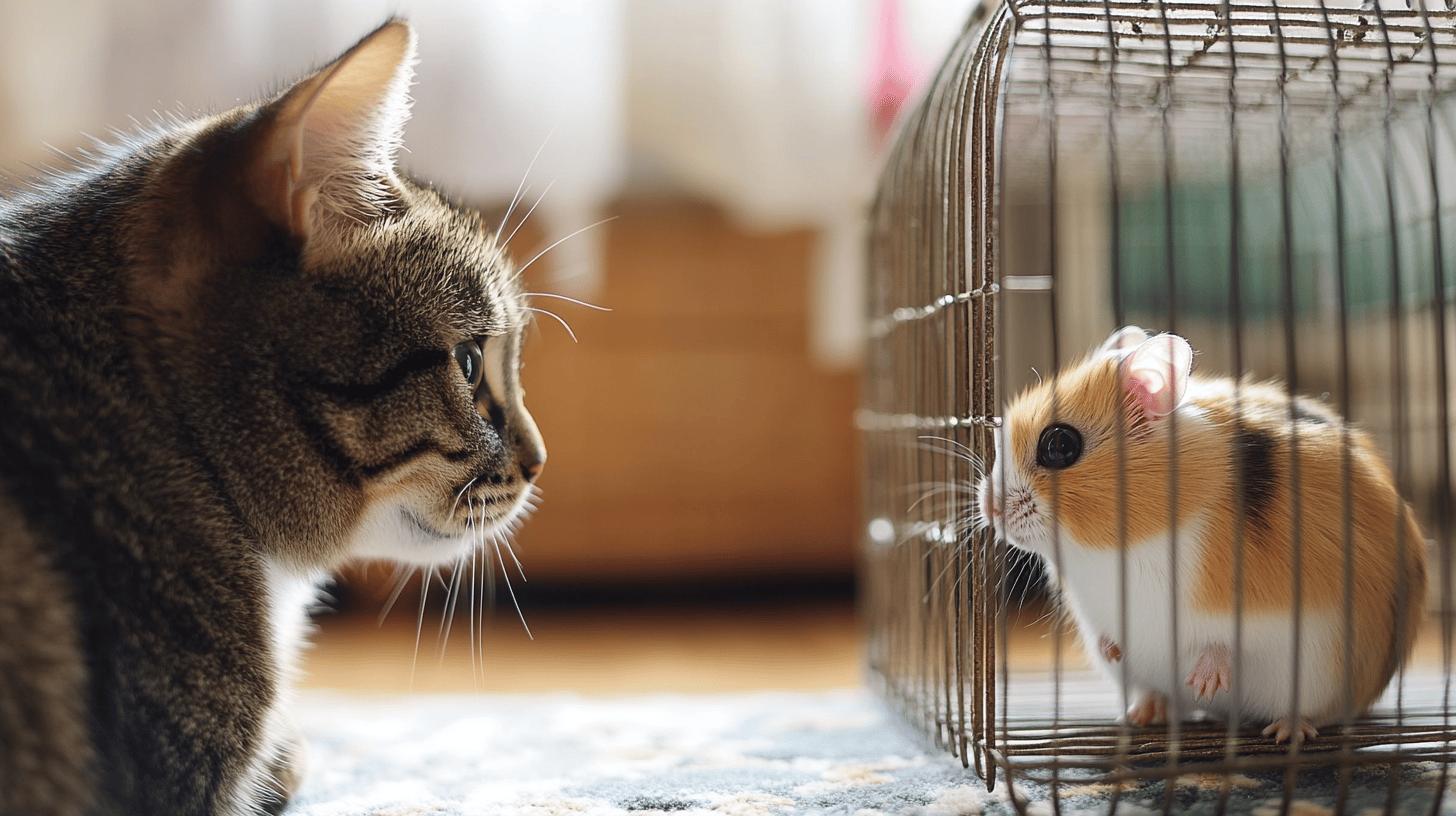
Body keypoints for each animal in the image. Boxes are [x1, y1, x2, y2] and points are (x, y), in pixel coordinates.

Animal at [976, 326, 1428, 742]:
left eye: (1059, 445)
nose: (990, 509)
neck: (1117, 547)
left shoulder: (1249, 608)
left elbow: (1222, 642)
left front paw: (1205, 682)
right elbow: (1110, 636)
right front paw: (1116, 650)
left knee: (1317, 712)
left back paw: (1284, 731)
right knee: (1161, 697)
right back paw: (1142, 714)